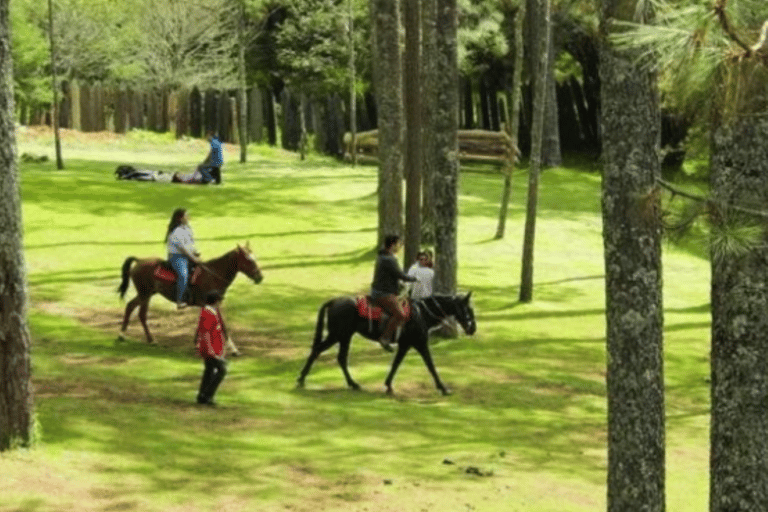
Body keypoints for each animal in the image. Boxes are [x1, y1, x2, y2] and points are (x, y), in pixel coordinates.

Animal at [118, 243, 264, 344]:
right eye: (249, 260)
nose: (260, 277)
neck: (213, 274)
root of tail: (139, 260)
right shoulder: (212, 303)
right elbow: (222, 325)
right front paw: (233, 349)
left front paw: (197, 342)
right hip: (145, 294)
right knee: (139, 312)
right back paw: (147, 339)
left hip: (147, 293)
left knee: (132, 307)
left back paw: (125, 336)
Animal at [296, 292, 476, 396]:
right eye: (468, 309)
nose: (473, 328)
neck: (421, 313)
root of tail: (333, 301)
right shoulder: (420, 343)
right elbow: (431, 366)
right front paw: (443, 388)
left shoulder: (405, 345)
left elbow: (396, 364)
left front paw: (388, 385)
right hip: (338, 335)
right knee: (318, 350)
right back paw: (302, 379)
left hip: (344, 336)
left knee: (340, 358)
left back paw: (352, 384)